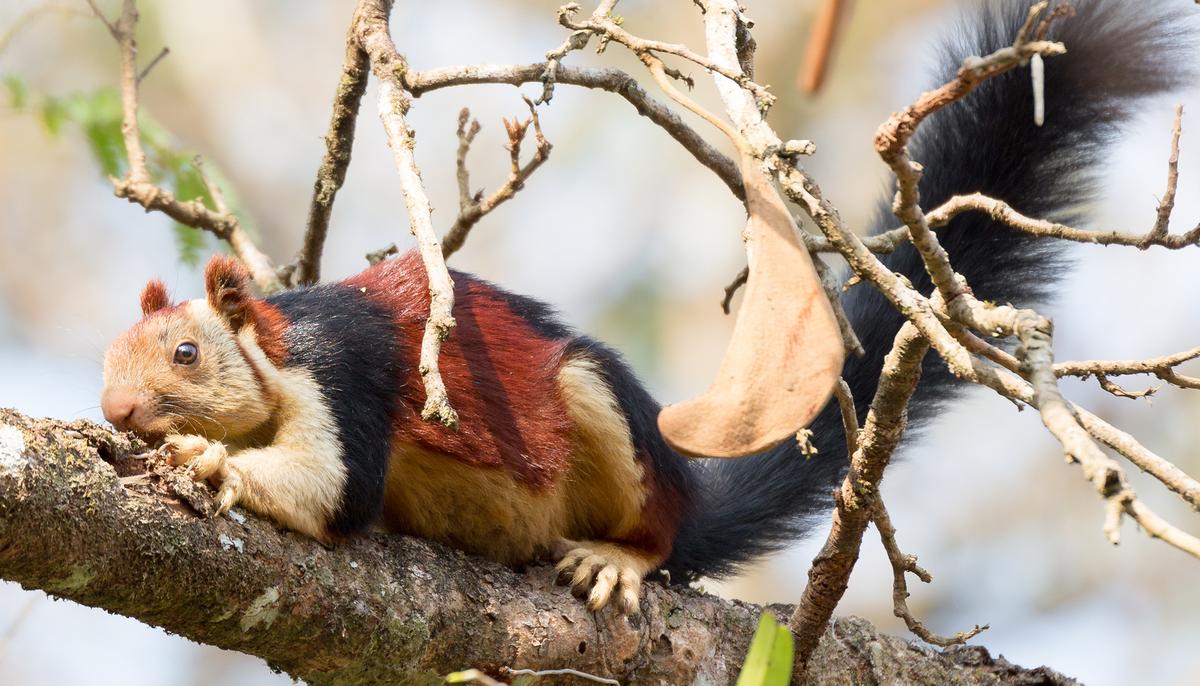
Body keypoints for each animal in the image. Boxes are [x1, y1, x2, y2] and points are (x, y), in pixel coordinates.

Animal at [100, 0, 1191, 615]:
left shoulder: (344, 382)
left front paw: (206, 457)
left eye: (187, 353)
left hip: (603, 415)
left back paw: (620, 558)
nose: (115, 410)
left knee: (660, 532)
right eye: (110, 355)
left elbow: (328, 486)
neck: (278, 348)